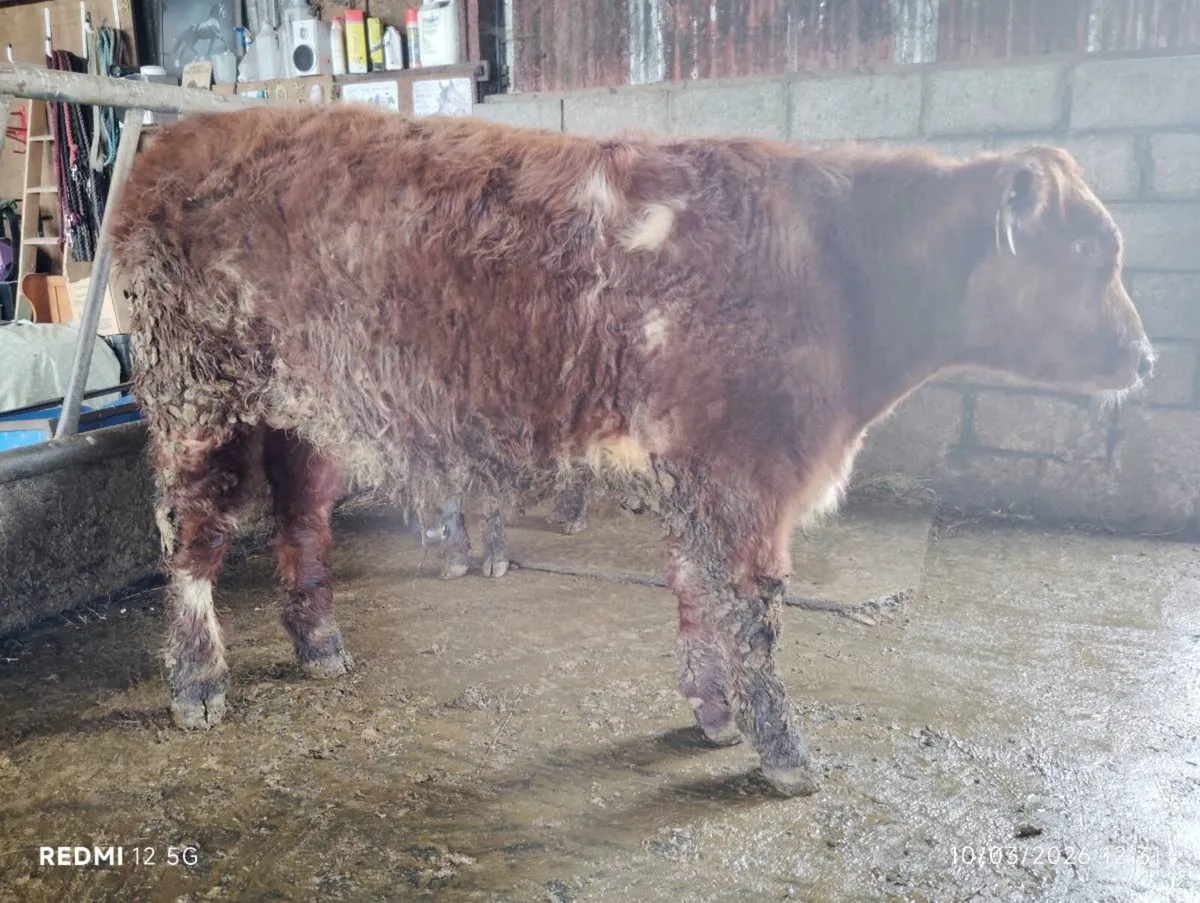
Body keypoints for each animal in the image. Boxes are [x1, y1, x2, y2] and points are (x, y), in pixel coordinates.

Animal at [107, 104, 1153, 797]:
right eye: (1085, 252)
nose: (1145, 357)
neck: (835, 265)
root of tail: (184, 136)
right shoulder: (744, 473)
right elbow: (753, 615)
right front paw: (785, 755)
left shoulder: (699, 472)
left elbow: (696, 596)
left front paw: (714, 714)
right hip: (196, 396)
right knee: (190, 539)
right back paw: (198, 681)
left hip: (305, 412)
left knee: (300, 519)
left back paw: (319, 642)